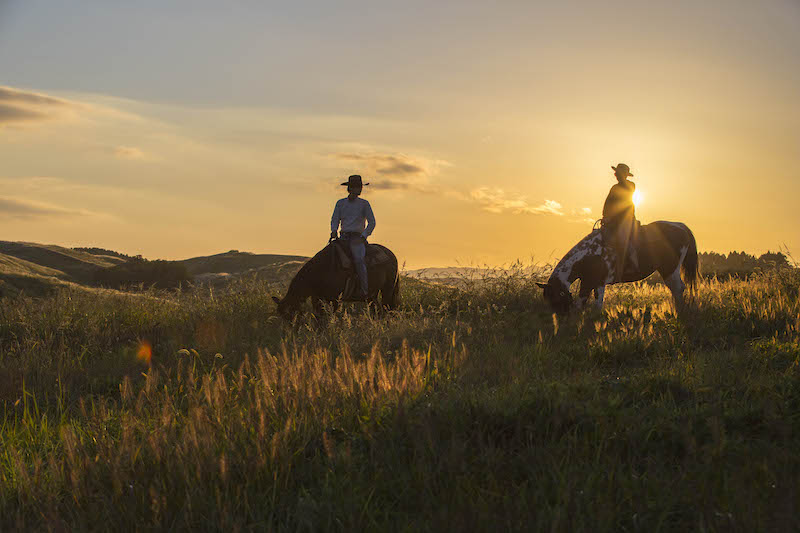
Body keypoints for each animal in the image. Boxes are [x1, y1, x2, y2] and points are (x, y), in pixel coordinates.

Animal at [536, 219, 700, 312]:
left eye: (555, 299)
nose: (559, 319)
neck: (590, 254)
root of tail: (681, 226)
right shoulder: (587, 282)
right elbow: (581, 303)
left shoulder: (598, 283)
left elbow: (596, 305)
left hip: (670, 270)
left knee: (678, 288)